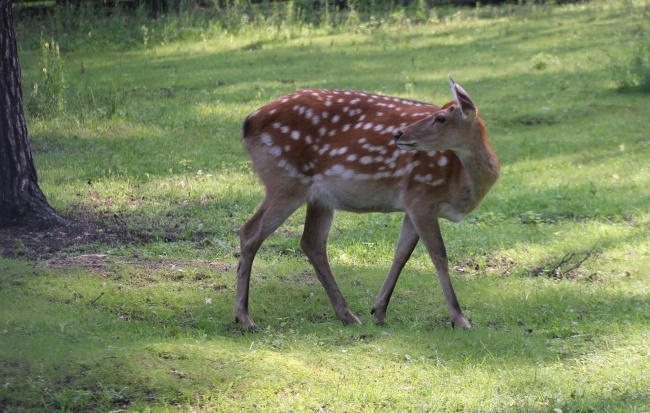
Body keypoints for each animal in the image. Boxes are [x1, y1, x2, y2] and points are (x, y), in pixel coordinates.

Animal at [235, 76, 498, 328]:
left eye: (441, 118)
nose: (399, 134)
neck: (463, 185)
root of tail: (248, 123)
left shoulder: (413, 205)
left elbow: (402, 254)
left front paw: (379, 311)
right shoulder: (421, 194)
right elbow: (439, 255)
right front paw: (460, 318)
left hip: (317, 196)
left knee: (312, 242)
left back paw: (347, 315)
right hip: (285, 180)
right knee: (250, 231)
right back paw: (244, 317)